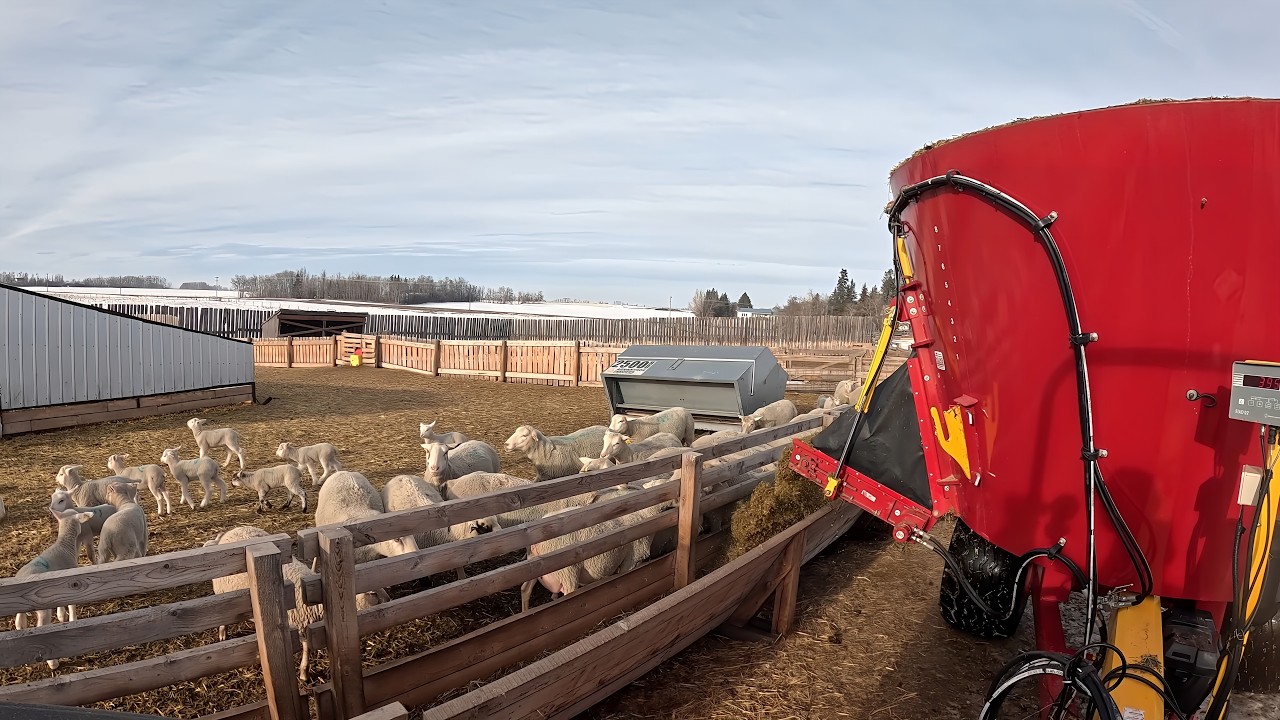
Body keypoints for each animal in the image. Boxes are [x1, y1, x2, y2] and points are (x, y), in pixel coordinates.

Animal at [13, 508, 95, 669]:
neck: (65, 545)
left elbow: (61, 610)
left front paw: (62, 617)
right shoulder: (72, 584)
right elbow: (72, 606)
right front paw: (73, 621)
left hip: (20, 606)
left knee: (19, 623)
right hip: (42, 608)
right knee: (41, 629)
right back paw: (53, 663)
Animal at [205, 525, 388, 681]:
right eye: (372, 593)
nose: (389, 600)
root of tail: (228, 532)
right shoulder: (301, 624)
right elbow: (306, 648)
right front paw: (304, 673)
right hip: (221, 592)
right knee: (223, 615)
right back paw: (222, 634)